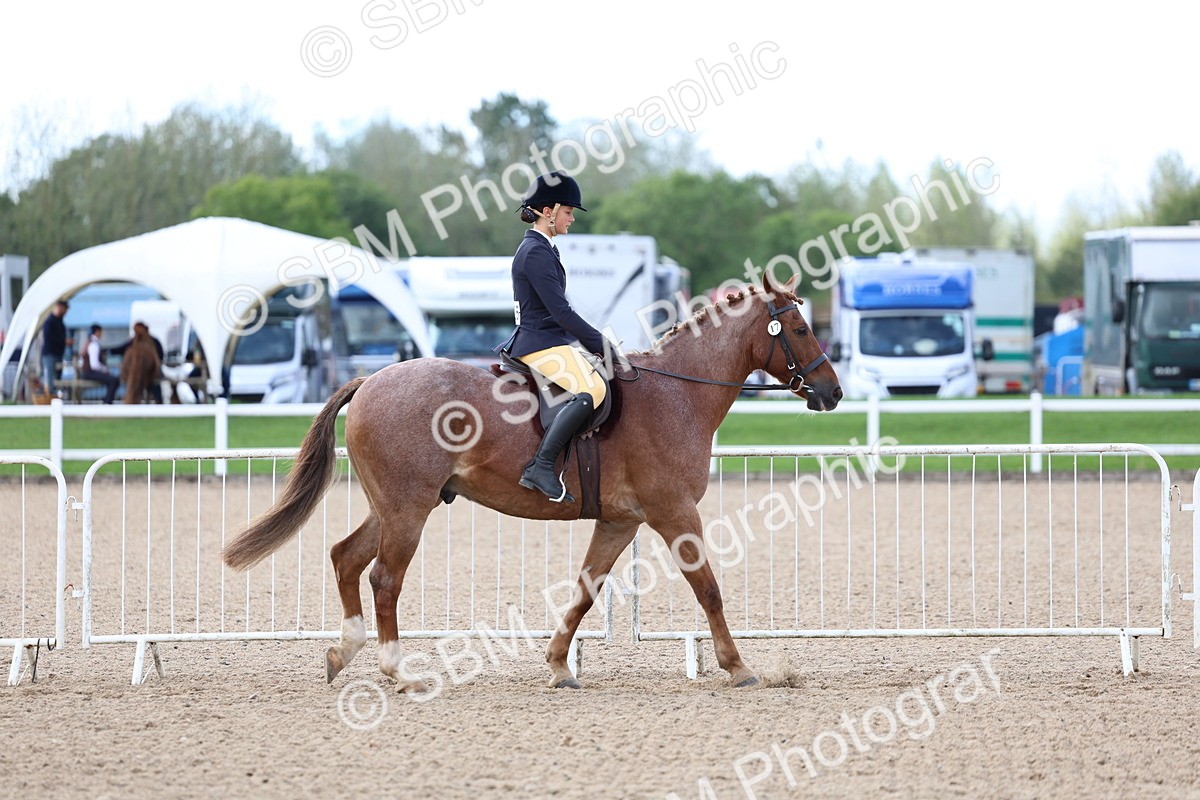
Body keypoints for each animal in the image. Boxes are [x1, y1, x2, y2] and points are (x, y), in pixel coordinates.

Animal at [222, 271, 842, 689]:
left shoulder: (621, 521)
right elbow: (708, 587)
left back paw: (343, 652)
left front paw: (558, 665)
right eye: (800, 328)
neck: (677, 394)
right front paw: (738, 667)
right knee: (384, 580)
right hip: (408, 509)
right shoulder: (673, 513)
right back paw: (398, 672)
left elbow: (585, 591)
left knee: (346, 557)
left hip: (393, 506)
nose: (832, 392)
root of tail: (371, 379)